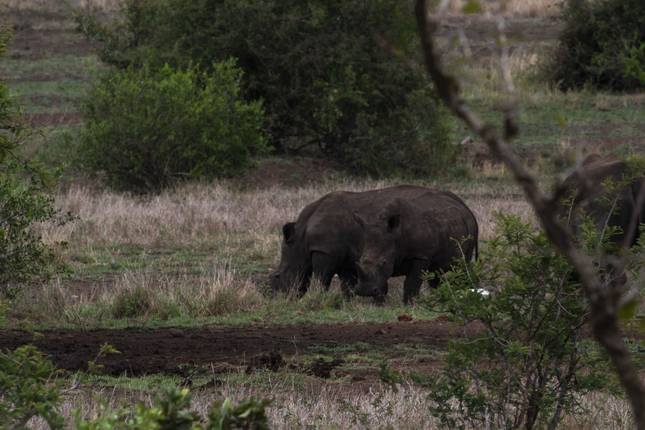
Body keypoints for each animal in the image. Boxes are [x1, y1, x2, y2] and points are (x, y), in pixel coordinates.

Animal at [270, 185, 436, 296]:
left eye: (278, 276)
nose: (275, 297)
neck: (302, 238)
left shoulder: (324, 250)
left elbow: (322, 277)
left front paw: (318, 296)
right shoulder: (345, 257)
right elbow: (346, 284)